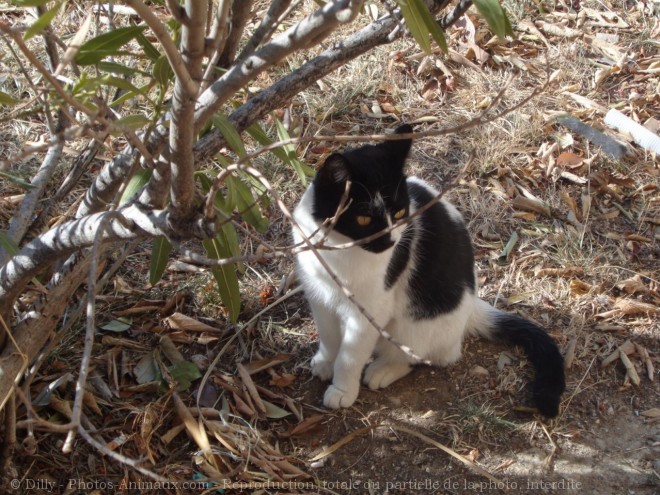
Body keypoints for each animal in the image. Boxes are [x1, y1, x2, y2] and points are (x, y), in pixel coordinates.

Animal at [294, 125, 568, 418]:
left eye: (399, 212)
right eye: (364, 219)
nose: (391, 241)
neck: (337, 249)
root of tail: (471, 307)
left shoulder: (369, 311)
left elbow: (350, 356)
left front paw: (342, 389)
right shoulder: (320, 296)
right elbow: (329, 336)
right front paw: (325, 362)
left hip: (414, 325)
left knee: (424, 356)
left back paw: (384, 369)